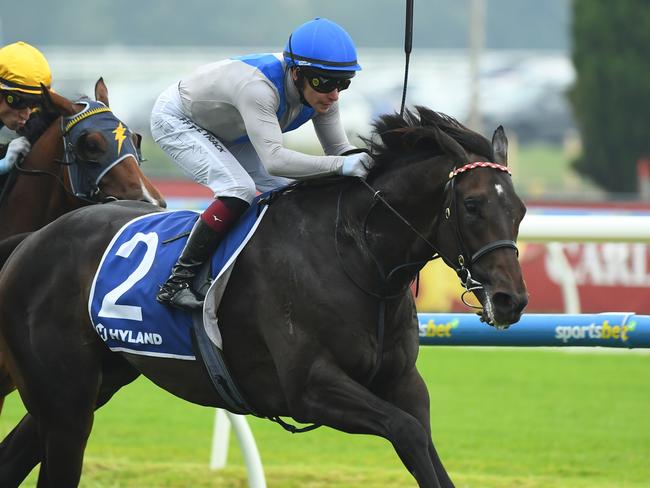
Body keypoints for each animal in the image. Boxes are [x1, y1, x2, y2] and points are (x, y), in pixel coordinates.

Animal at [0, 107, 528, 488]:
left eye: (520, 209)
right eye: (472, 205)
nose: (512, 299)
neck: (358, 258)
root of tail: (31, 240)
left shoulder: (403, 383)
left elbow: (424, 448)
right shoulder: (310, 388)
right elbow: (408, 432)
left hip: (94, 383)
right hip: (65, 399)